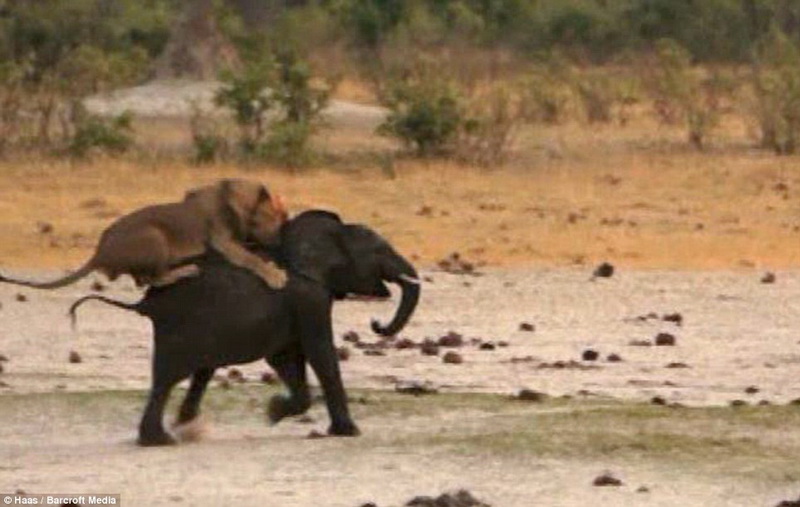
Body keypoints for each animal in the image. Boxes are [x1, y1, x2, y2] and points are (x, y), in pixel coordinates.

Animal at [0, 179, 289, 289]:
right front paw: (275, 275)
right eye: (275, 218)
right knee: (151, 280)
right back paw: (185, 271)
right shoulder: (222, 241)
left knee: (142, 279)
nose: (280, 240)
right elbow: (250, 258)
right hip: (154, 236)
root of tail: (98, 253)